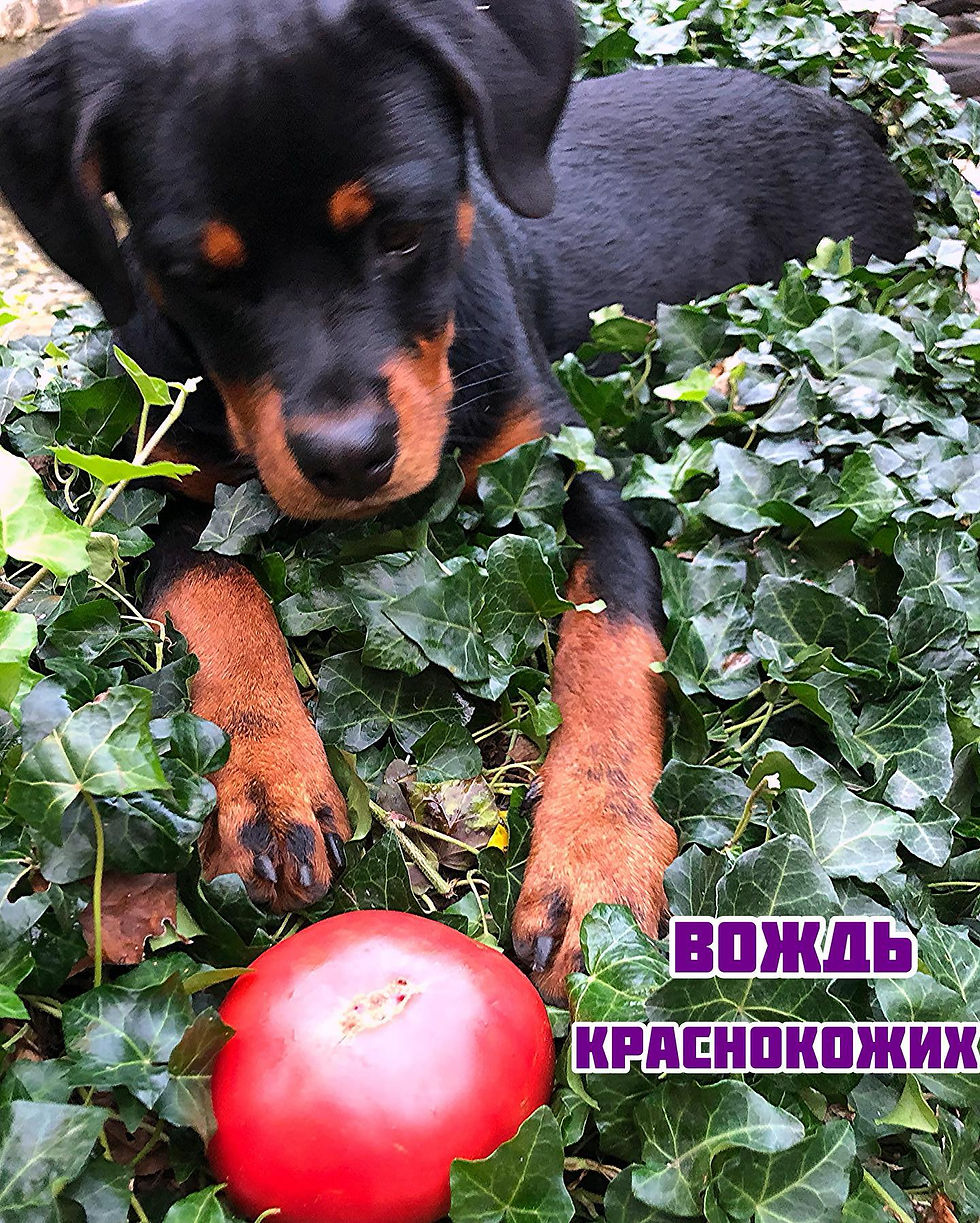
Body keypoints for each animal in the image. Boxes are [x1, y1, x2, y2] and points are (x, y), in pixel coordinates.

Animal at [0, 0, 915, 1001]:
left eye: (405, 231)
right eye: (199, 275)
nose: (348, 457)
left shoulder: (578, 480)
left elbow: (612, 652)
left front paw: (598, 862)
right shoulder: (177, 494)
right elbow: (214, 599)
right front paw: (265, 784)